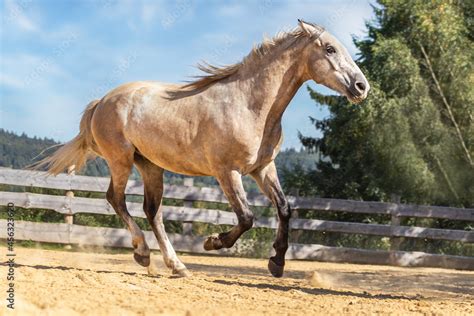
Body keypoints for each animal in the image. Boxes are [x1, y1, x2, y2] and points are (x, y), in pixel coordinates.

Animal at [36, 19, 370, 276]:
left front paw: (276, 263)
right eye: (330, 49)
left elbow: (285, 209)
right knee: (116, 199)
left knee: (152, 211)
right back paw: (143, 253)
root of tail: (101, 101)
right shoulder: (227, 172)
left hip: (150, 165)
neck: (249, 104)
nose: (361, 87)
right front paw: (213, 242)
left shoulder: (263, 168)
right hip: (121, 159)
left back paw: (177, 266)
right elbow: (247, 217)